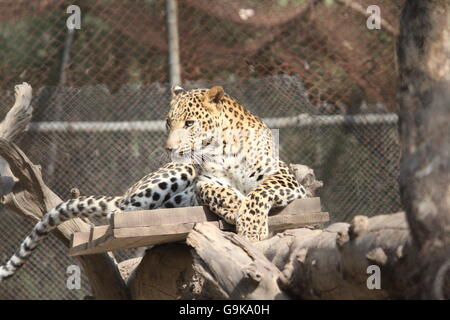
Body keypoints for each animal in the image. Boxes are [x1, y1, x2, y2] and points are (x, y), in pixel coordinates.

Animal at [0, 85, 306, 282]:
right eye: (168, 122)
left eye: (190, 123)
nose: (169, 148)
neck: (222, 147)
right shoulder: (204, 179)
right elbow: (217, 191)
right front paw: (235, 209)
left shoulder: (287, 178)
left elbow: (258, 193)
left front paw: (251, 229)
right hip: (174, 174)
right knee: (120, 213)